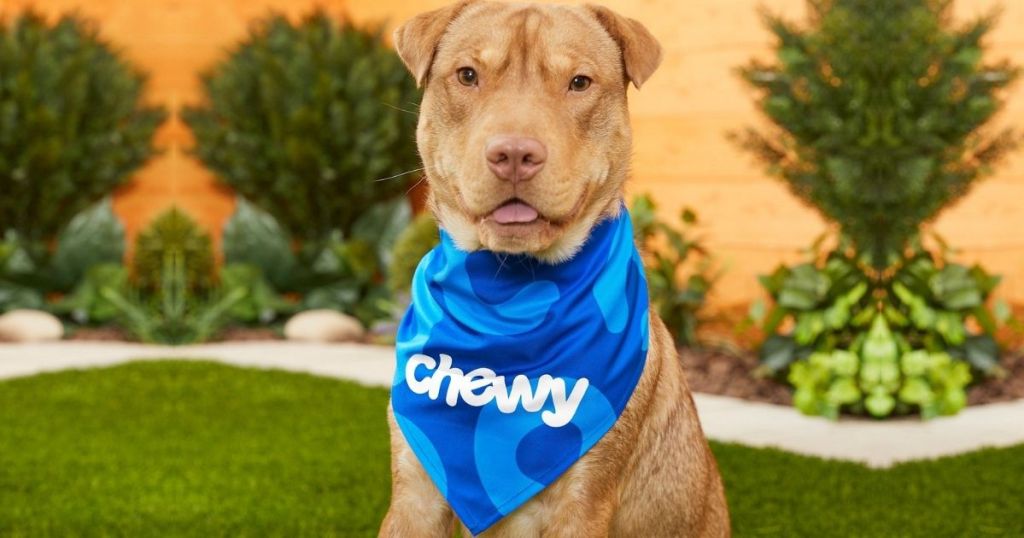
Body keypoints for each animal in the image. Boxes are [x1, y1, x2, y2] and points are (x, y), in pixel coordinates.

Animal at [382, 2, 729, 532]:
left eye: (579, 82)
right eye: (467, 75)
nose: (514, 154)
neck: (510, 296)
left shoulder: (582, 504)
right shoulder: (414, 494)